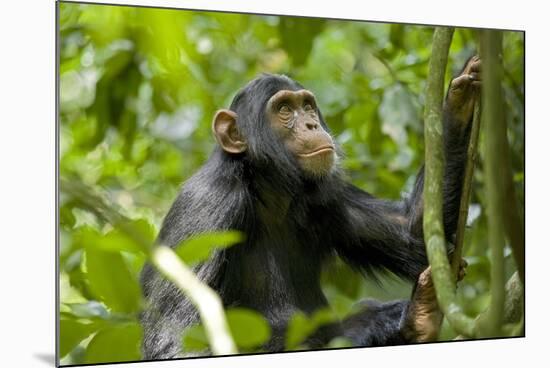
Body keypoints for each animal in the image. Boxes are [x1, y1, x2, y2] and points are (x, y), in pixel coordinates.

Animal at [141, 55, 484, 360]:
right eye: (283, 109)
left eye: (306, 105)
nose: (310, 123)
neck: (267, 189)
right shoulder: (207, 206)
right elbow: (177, 341)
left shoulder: (327, 195)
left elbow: (411, 231)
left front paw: (461, 96)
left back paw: (417, 318)